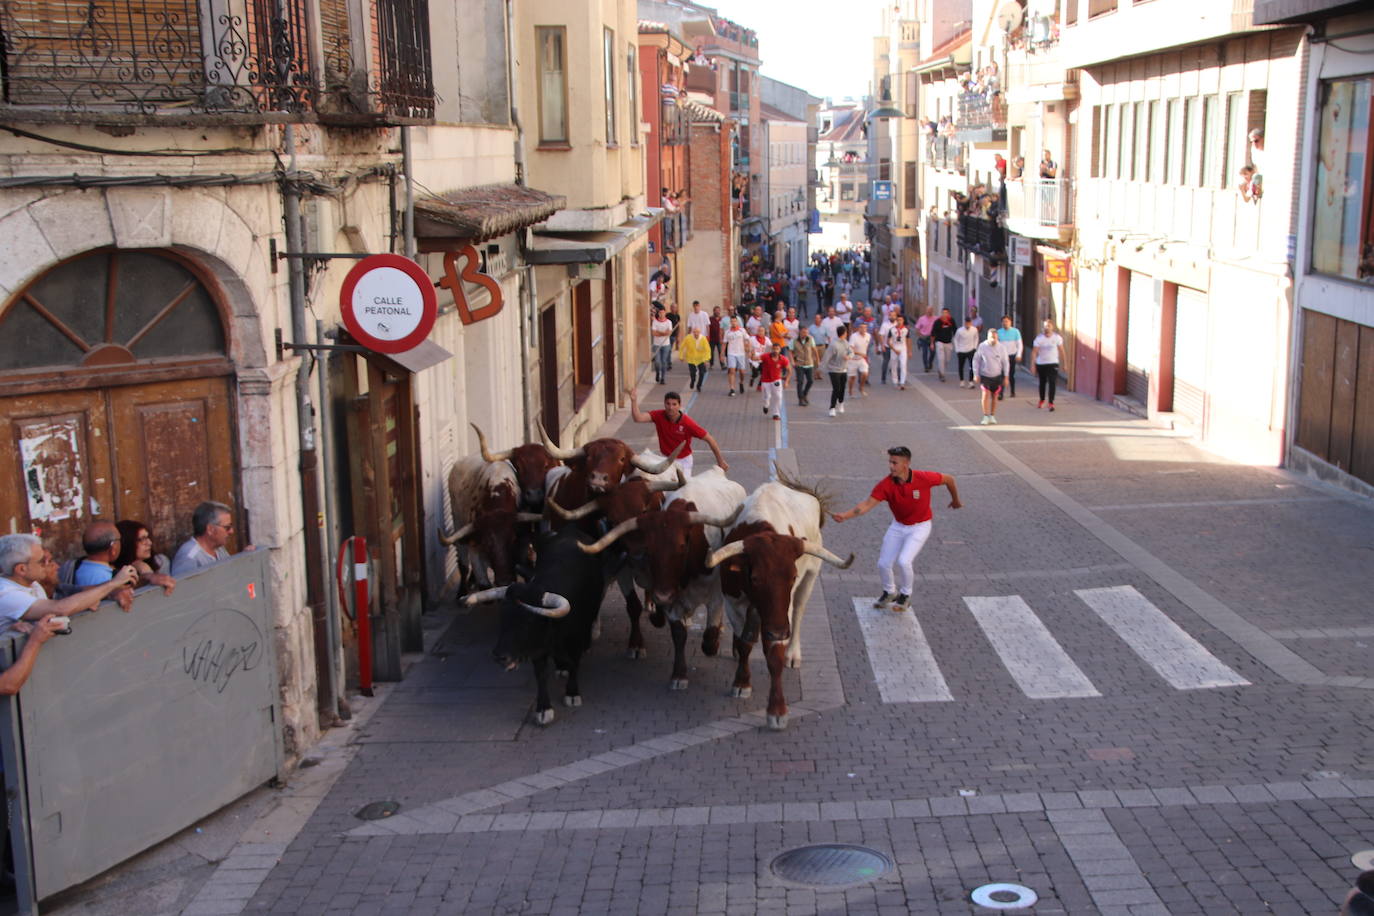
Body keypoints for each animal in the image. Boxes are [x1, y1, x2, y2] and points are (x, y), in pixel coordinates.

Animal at [461, 527, 612, 725]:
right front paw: (543, 708)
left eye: (528, 621)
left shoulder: (576, 638)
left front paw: (572, 693)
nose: (499, 656)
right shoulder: (537, 648)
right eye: (503, 618)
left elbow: (575, 663)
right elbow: (541, 675)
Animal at [574, 469, 747, 692]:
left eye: (682, 546)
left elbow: (709, 638)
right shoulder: (668, 595)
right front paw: (679, 674)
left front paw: (715, 643)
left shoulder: (715, 595)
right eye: (650, 549)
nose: (661, 596)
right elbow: (678, 633)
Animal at [708, 480, 846, 730]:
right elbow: (744, 643)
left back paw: (793, 654)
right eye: (755, 578)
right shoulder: (733, 602)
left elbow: (774, 656)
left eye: (792, 576)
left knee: (799, 612)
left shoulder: (782, 611)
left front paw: (777, 711)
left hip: (810, 577)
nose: (780, 631)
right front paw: (742, 683)